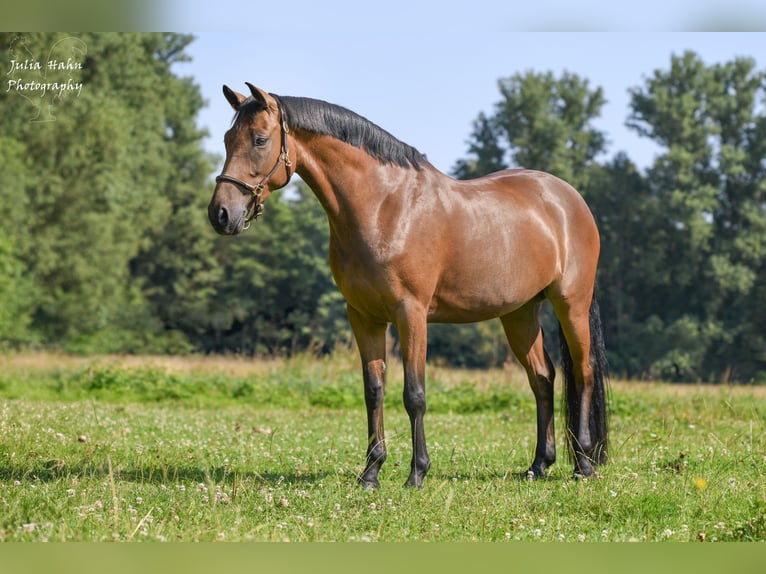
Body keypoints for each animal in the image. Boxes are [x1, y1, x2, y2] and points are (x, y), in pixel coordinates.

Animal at [207, 84, 608, 490]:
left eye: (259, 139)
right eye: (227, 139)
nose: (220, 214)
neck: (384, 207)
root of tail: (569, 199)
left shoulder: (410, 313)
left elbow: (414, 394)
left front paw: (417, 472)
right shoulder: (363, 317)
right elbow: (373, 390)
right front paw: (371, 472)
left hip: (570, 303)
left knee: (584, 371)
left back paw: (584, 463)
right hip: (520, 313)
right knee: (542, 378)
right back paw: (539, 464)